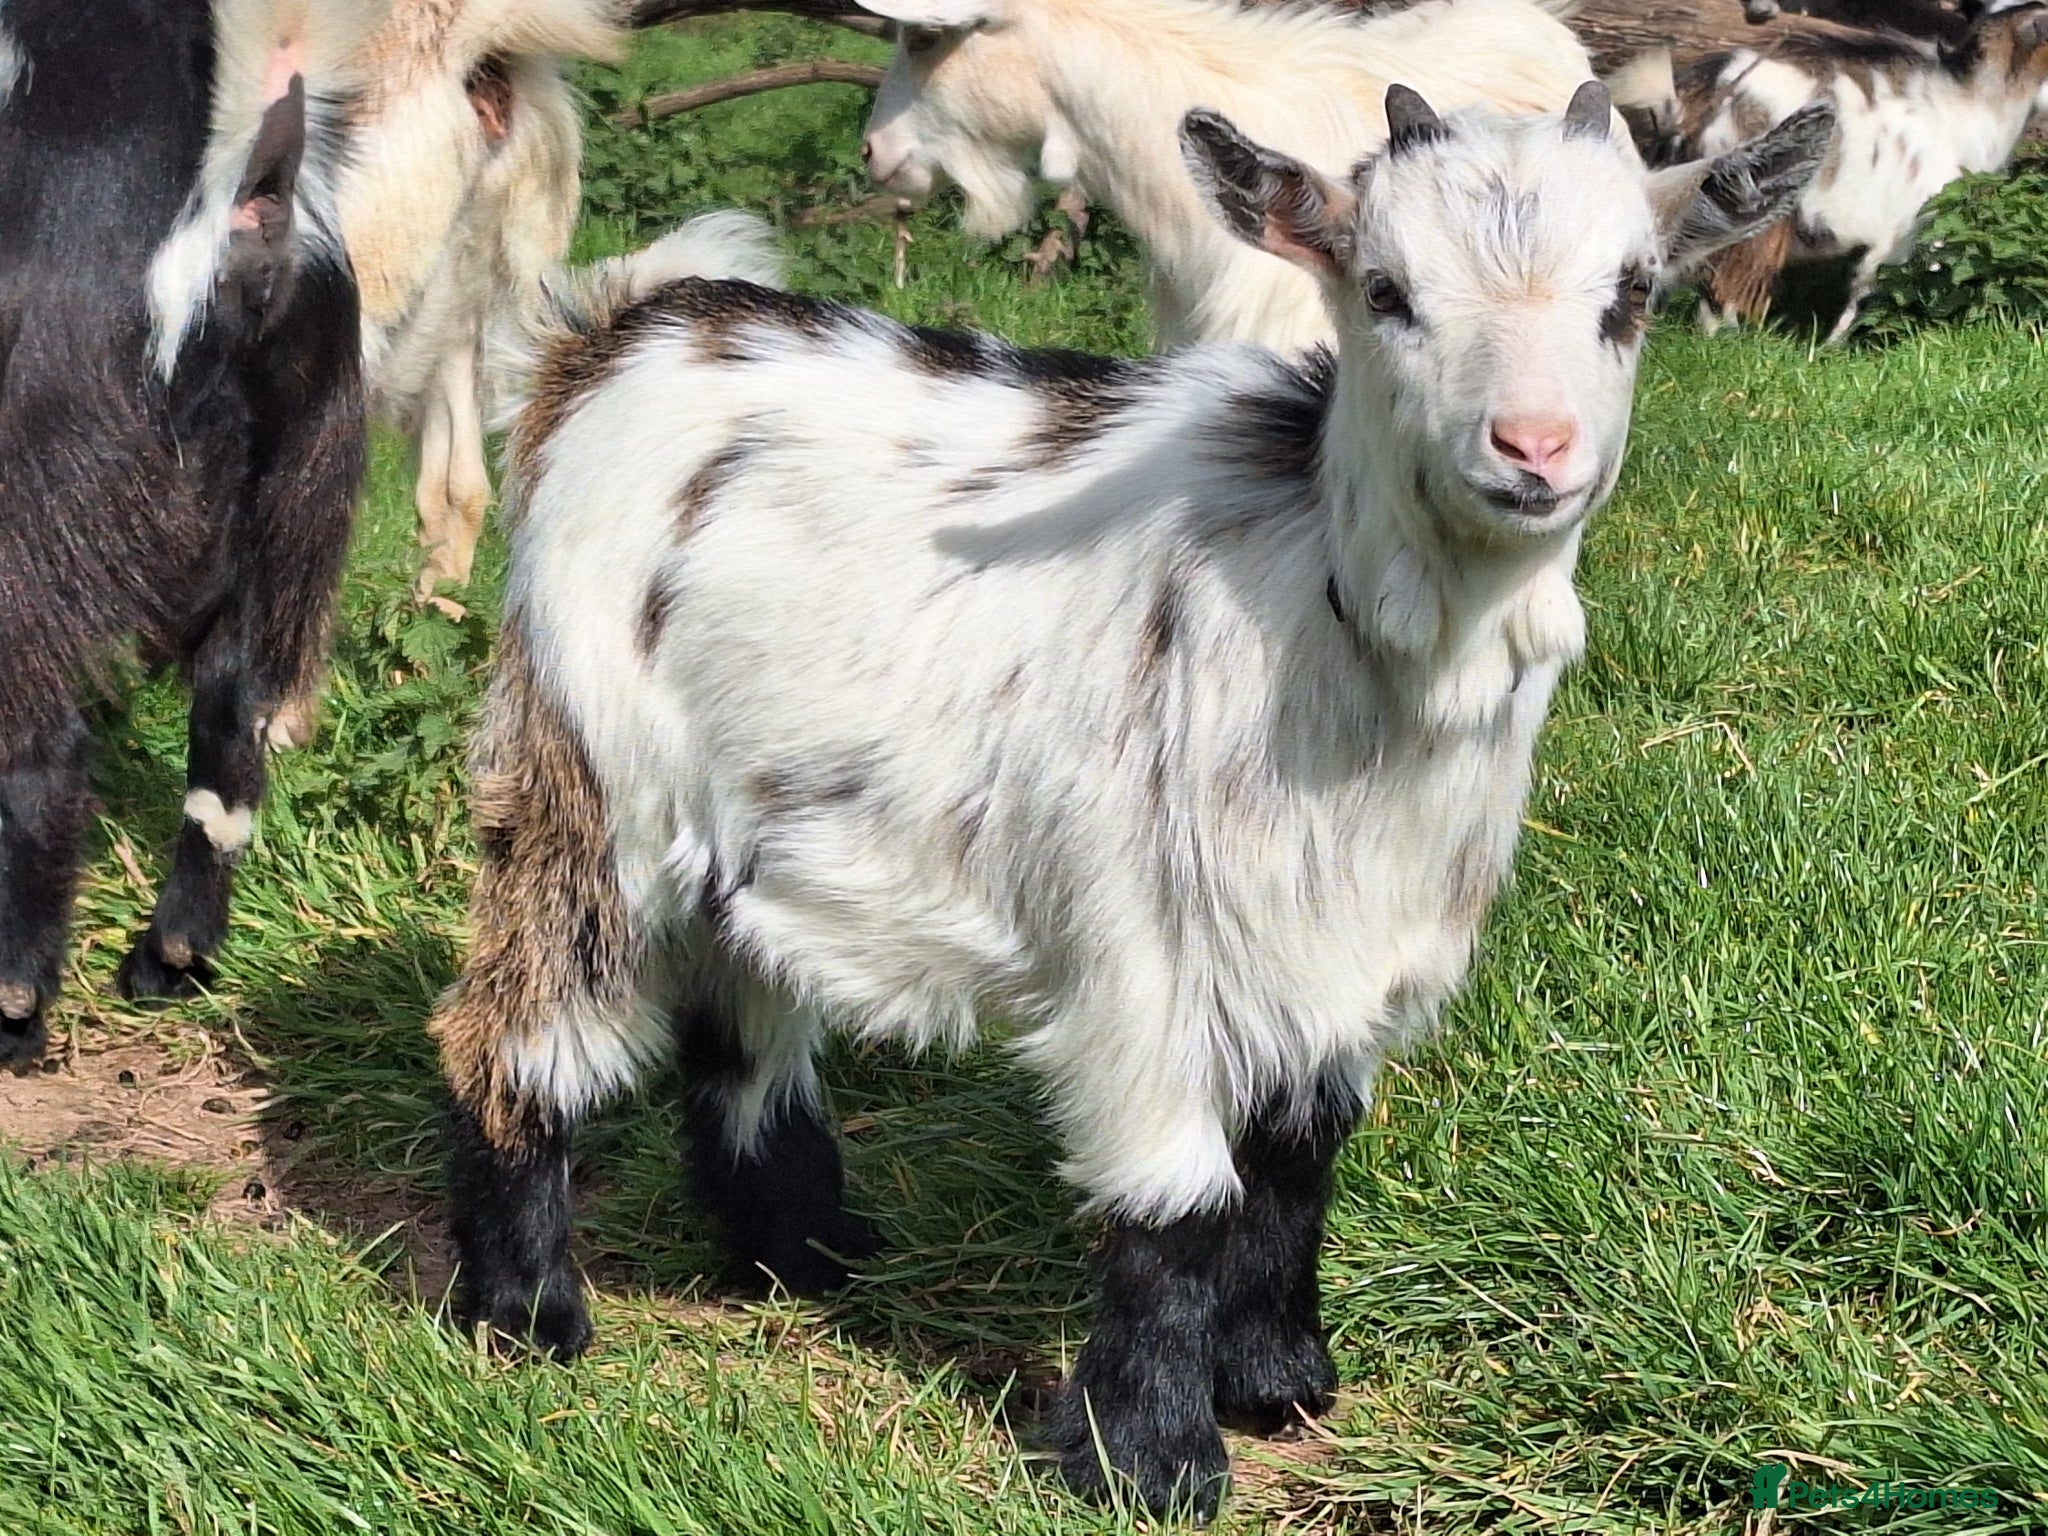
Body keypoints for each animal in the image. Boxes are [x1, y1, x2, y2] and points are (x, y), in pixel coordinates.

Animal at [0, 0, 372, 1069]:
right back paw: (171, 958)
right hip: (294, 497)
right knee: (233, 718)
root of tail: (252, 220)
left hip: (39, 495)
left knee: (43, 748)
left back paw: (15, 1003)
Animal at [430, 88, 1832, 1518]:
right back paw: (524, 1312)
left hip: (764, 811)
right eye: (1384, 290)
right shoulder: (1144, 948)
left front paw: (1278, 1379)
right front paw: (1151, 1459)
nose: (1533, 448)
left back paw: (807, 1253)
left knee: (742, 1025)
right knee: (518, 1020)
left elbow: (1293, 1168)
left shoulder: (1344, 945)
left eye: (1630, 294)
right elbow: (1176, 1205)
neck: (1344, 632)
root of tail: (614, 333)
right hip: (592, 768)